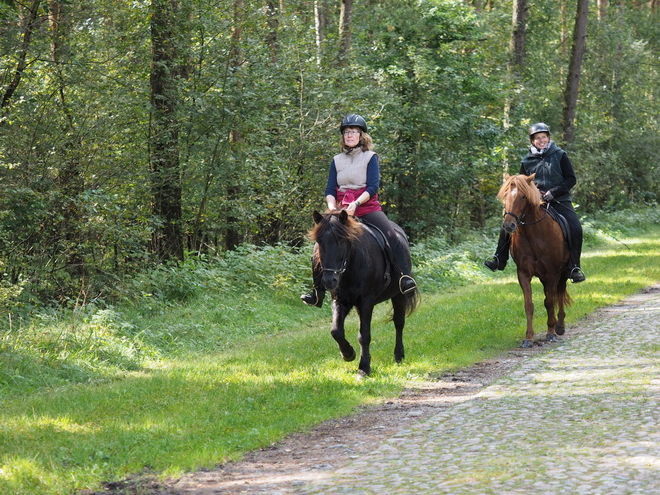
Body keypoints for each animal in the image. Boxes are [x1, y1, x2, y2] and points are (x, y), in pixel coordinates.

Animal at [310, 209, 418, 376]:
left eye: (342, 241)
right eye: (319, 241)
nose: (329, 281)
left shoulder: (366, 301)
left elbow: (364, 335)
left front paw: (364, 368)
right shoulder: (340, 300)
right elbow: (336, 331)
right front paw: (348, 354)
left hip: (399, 295)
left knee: (399, 323)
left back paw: (399, 355)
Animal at [498, 174, 568, 348]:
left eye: (523, 197)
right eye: (505, 196)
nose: (509, 225)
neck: (533, 236)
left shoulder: (551, 273)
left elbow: (549, 302)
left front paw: (551, 333)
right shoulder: (523, 273)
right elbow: (528, 305)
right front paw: (528, 337)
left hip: (563, 272)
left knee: (560, 293)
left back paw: (560, 326)